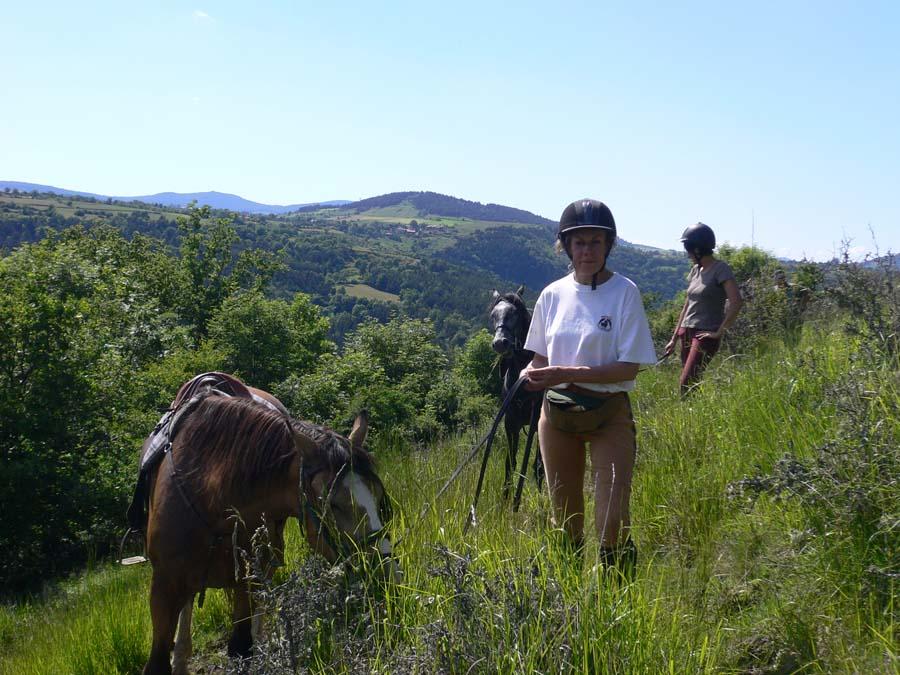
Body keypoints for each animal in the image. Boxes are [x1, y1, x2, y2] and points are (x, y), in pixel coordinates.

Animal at [142, 374, 394, 675]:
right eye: (332, 504)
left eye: (377, 495)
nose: (386, 573)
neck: (210, 493)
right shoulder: (164, 585)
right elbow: (158, 660)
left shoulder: (248, 577)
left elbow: (241, 647)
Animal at [488, 286, 544, 502]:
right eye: (493, 315)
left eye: (515, 314)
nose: (500, 343)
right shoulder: (511, 424)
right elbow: (510, 464)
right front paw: (506, 500)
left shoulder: (538, 421)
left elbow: (538, 467)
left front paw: (542, 502)